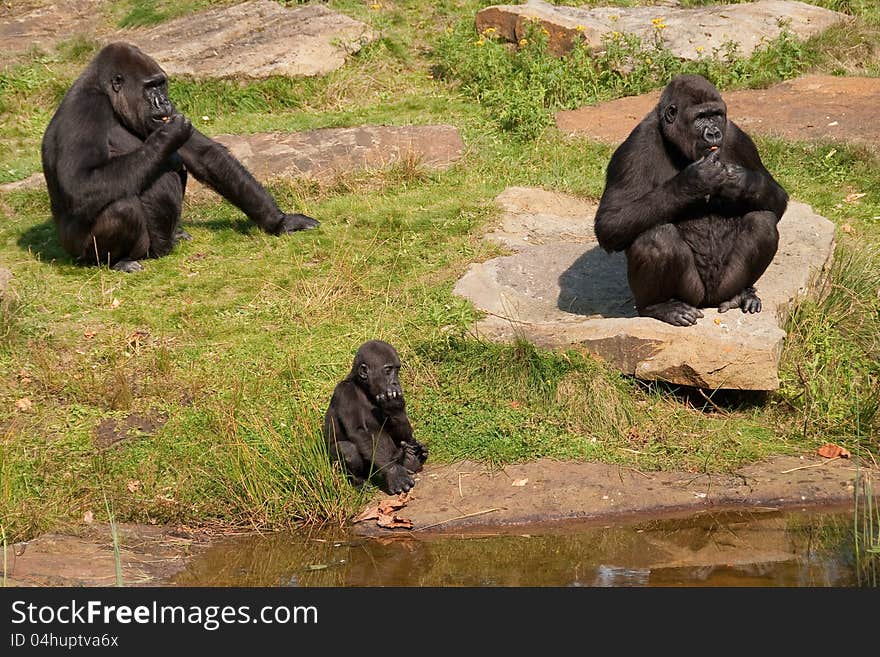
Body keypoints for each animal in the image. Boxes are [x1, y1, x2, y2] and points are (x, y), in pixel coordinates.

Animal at [41, 42, 318, 270]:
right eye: (149, 87)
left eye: (161, 84)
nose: (163, 101)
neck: (109, 97)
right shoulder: (84, 111)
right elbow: (80, 184)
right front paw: (167, 135)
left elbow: (206, 156)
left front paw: (280, 221)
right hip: (86, 252)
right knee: (121, 208)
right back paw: (118, 261)